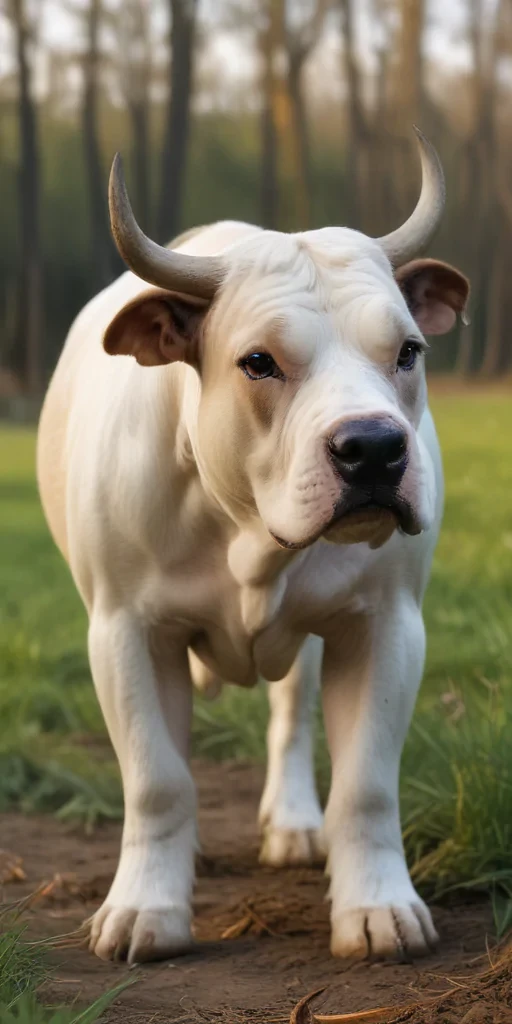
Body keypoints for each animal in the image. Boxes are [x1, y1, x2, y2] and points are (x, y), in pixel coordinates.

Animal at [37, 128, 469, 966]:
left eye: (408, 350)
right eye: (259, 362)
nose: (373, 449)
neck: (246, 535)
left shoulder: (386, 625)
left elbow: (367, 783)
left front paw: (377, 907)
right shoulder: (126, 633)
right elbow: (158, 779)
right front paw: (146, 907)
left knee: (290, 716)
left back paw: (295, 824)